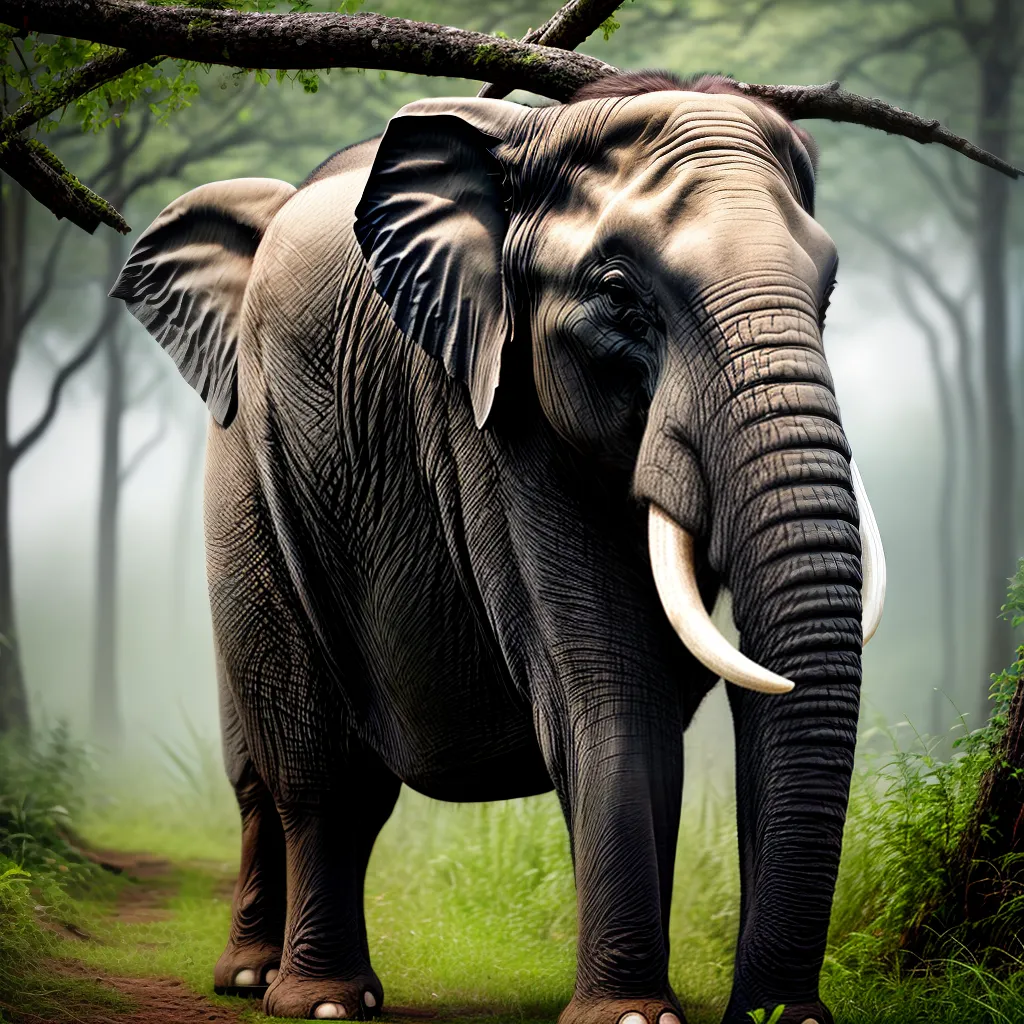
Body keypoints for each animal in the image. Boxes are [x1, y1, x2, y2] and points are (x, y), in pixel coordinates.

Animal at [112, 71, 887, 1024]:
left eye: (829, 294)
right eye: (619, 295)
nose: (775, 1013)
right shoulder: (489, 417)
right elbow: (611, 682)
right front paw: (630, 1019)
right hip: (249, 476)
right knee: (309, 769)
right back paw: (306, 997)